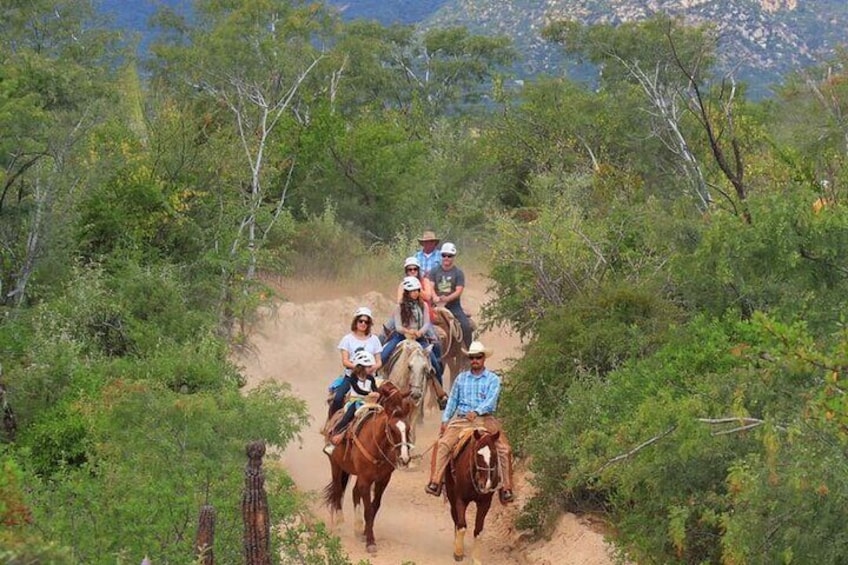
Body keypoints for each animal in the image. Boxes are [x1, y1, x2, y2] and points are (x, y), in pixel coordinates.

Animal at [322, 378, 414, 552]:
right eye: (392, 429)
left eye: (408, 429)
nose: (404, 459)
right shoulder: (365, 479)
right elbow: (369, 509)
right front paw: (370, 541)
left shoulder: (382, 480)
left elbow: (374, 506)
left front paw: (365, 532)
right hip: (336, 466)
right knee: (338, 490)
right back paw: (339, 522)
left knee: (353, 492)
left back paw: (357, 527)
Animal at [440, 428, 500, 564]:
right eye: (478, 454)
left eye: (494, 454)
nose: (486, 484)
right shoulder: (461, 499)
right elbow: (462, 525)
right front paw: (458, 553)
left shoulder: (485, 503)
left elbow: (478, 530)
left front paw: (476, 558)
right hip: (451, 496)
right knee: (456, 519)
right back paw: (457, 544)